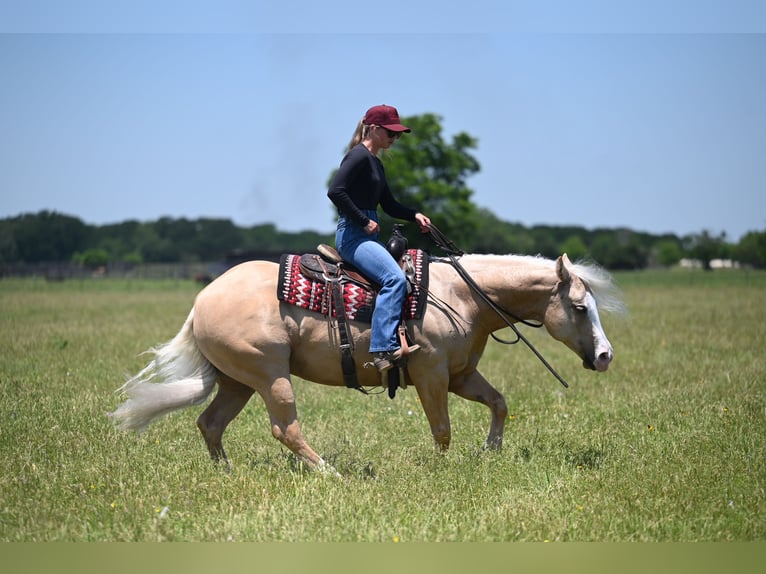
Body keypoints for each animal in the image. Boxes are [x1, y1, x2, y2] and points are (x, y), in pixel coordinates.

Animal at [109, 251, 624, 474]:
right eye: (580, 307)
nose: (605, 356)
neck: (461, 296)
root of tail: (201, 301)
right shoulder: (432, 374)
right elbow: (442, 429)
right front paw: (444, 470)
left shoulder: (461, 375)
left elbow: (498, 403)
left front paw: (490, 451)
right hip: (269, 376)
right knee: (284, 429)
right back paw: (329, 474)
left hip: (238, 382)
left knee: (210, 423)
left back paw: (227, 472)